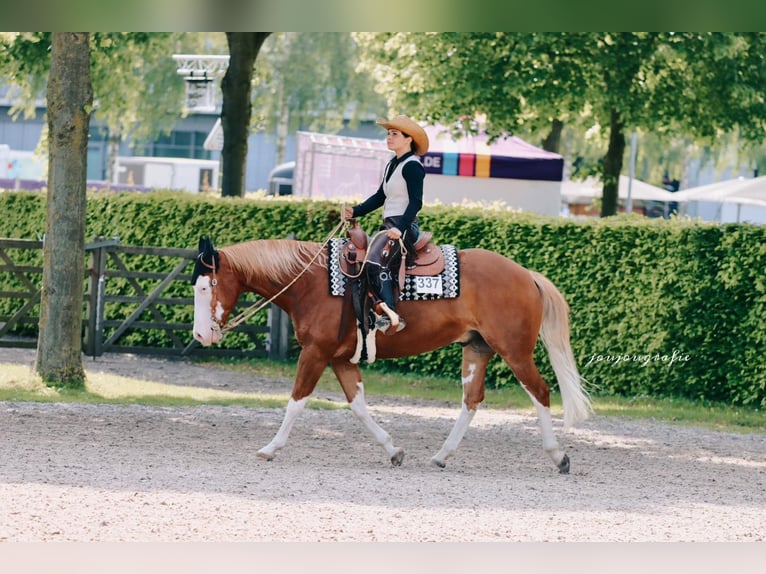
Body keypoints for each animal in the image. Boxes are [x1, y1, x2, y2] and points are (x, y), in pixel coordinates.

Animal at [191, 232, 591, 473]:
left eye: (206, 286)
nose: (199, 334)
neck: (312, 283)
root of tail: (526, 274)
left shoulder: (315, 353)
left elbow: (296, 402)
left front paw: (270, 447)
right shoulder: (339, 358)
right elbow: (358, 406)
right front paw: (392, 449)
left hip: (515, 351)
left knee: (540, 392)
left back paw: (558, 456)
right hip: (477, 349)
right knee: (472, 400)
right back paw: (442, 455)